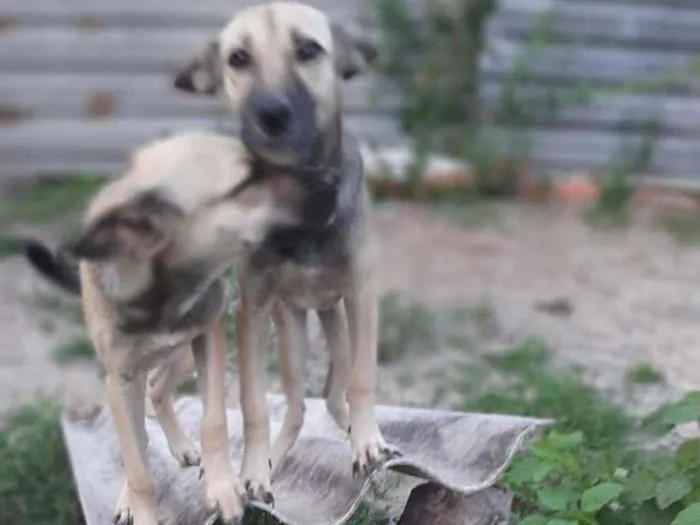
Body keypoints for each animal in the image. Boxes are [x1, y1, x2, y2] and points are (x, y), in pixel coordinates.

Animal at [23, 132, 326, 524]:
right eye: (245, 182)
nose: (330, 180)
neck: (164, 290)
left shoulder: (208, 338)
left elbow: (214, 422)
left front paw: (222, 486)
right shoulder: (120, 380)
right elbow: (136, 460)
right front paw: (140, 507)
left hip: (182, 357)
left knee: (158, 391)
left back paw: (183, 449)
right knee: (140, 426)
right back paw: (130, 492)